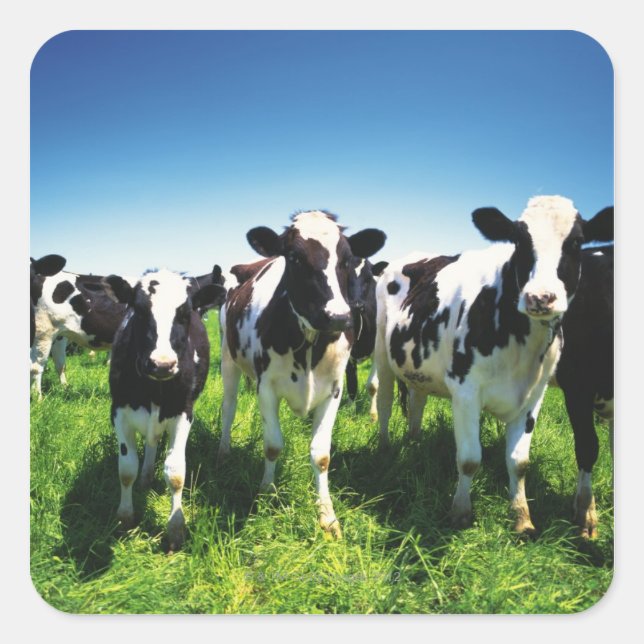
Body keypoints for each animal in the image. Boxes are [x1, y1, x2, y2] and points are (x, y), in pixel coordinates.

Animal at [103, 268, 224, 551]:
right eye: (139, 310)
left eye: (185, 313)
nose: (162, 364)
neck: (153, 388)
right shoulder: (118, 411)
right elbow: (126, 469)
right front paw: (125, 517)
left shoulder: (184, 413)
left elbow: (176, 473)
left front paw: (176, 529)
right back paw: (146, 477)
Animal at [345, 259, 389, 420]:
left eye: (368, 279)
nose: (356, 304)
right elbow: (352, 383)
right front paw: (349, 412)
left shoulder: (377, 350)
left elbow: (373, 385)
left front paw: (373, 415)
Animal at [375, 196, 613, 534]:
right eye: (519, 241)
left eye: (577, 242)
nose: (540, 297)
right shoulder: (466, 392)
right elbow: (469, 458)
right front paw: (460, 512)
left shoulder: (534, 396)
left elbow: (519, 462)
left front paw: (522, 518)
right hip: (381, 351)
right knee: (382, 401)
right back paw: (384, 450)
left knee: (417, 400)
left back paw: (414, 442)